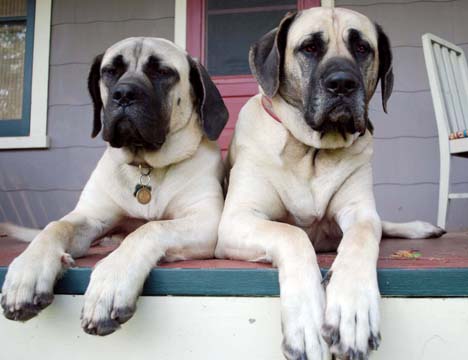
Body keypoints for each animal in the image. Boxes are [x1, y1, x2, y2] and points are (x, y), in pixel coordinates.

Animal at [1, 38, 229, 334]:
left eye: (161, 72)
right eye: (110, 71)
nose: (124, 94)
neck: (146, 167)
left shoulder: (207, 221)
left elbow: (150, 229)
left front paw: (111, 281)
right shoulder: (90, 217)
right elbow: (56, 226)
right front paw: (28, 269)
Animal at [218, 7, 444, 360]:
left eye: (362, 48)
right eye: (310, 47)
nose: (342, 84)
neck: (311, 152)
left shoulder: (360, 212)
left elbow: (363, 236)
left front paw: (354, 312)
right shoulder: (236, 220)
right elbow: (293, 234)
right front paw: (307, 325)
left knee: (383, 224)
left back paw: (422, 227)